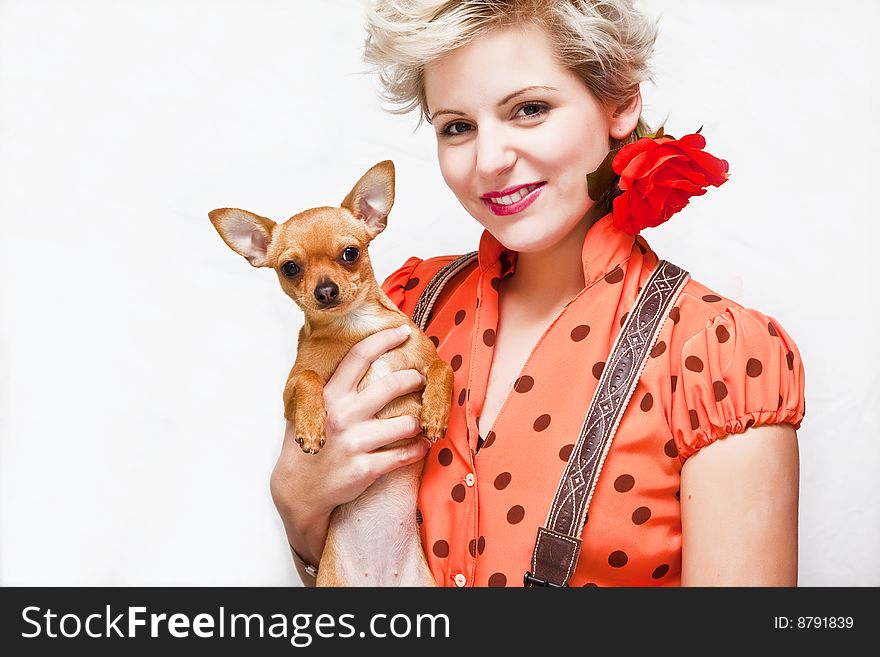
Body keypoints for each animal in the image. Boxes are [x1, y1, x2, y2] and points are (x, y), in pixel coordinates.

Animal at [209, 161, 450, 588]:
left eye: (350, 253)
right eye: (290, 267)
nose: (325, 290)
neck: (355, 326)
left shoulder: (423, 357)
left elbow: (442, 367)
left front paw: (435, 413)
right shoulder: (290, 388)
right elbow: (307, 379)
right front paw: (311, 427)